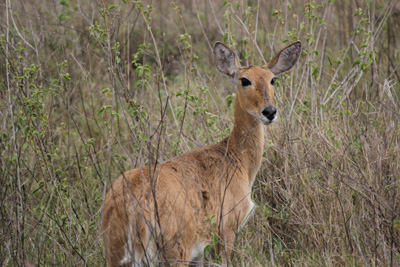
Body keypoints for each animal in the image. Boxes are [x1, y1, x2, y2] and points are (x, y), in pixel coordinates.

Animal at [101, 39, 302, 266]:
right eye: (244, 80)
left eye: (272, 79)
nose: (269, 111)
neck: (237, 159)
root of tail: (133, 206)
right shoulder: (226, 231)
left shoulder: (200, 252)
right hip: (176, 249)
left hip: (116, 254)